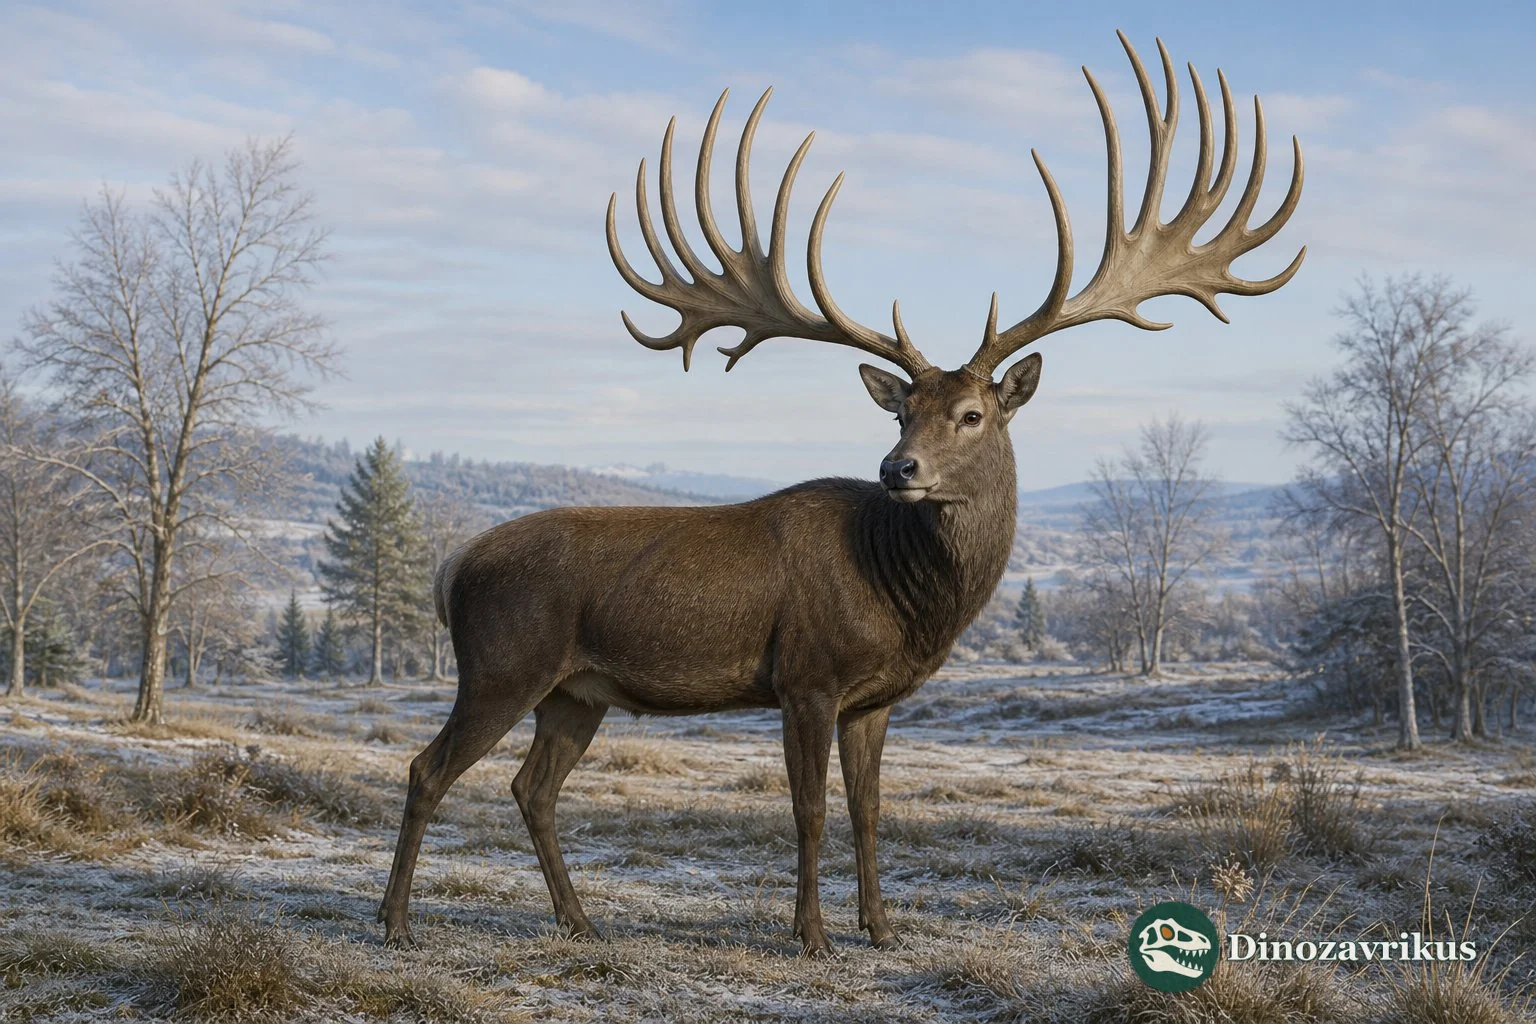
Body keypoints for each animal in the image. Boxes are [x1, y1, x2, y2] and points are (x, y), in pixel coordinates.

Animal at [380, 32, 1304, 956]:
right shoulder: (807, 675)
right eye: (901, 409)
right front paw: (813, 936)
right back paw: (395, 923)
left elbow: (868, 812)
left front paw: (883, 928)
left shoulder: (874, 698)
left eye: (971, 413)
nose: (899, 469)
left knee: (530, 787)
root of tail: (452, 566)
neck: (904, 599)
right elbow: (810, 813)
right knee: (428, 769)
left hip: (576, 692)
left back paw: (579, 920)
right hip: (504, 663)